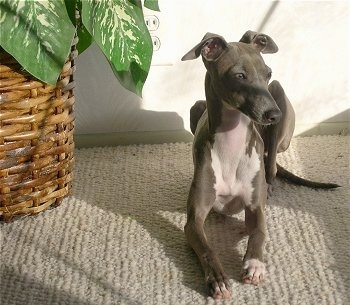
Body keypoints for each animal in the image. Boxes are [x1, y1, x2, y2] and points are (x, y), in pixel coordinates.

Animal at [182, 30, 338, 296]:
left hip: (279, 107)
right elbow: (206, 247)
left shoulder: (255, 207)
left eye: (268, 73)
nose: (273, 115)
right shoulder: (194, 219)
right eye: (239, 75)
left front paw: (254, 264)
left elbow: (259, 233)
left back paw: (271, 183)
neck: (231, 145)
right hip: (196, 107)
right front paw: (218, 278)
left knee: (272, 164)